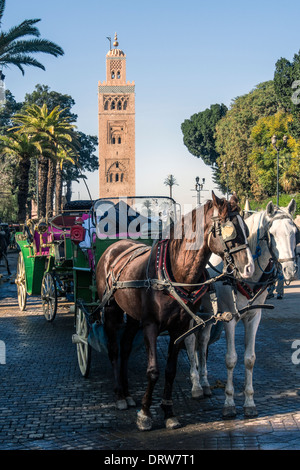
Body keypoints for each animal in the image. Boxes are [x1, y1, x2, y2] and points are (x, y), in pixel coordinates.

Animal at [95, 191, 253, 430]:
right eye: (230, 230)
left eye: (246, 229)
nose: (249, 268)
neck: (175, 274)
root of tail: (116, 246)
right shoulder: (150, 324)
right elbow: (153, 371)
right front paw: (145, 414)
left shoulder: (180, 327)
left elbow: (170, 370)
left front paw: (168, 412)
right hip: (111, 310)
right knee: (114, 349)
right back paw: (120, 396)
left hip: (132, 315)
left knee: (126, 348)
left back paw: (129, 394)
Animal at [186, 200, 298, 416]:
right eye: (272, 234)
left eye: (295, 232)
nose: (290, 270)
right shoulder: (229, 317)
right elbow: (231, 359)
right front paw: (229, 402)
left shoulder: (254, 316)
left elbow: (249, 359)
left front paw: (249, 402)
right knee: (189, 340)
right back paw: (195, 386)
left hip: (208, 312)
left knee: (202, 341)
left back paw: (204, 382)